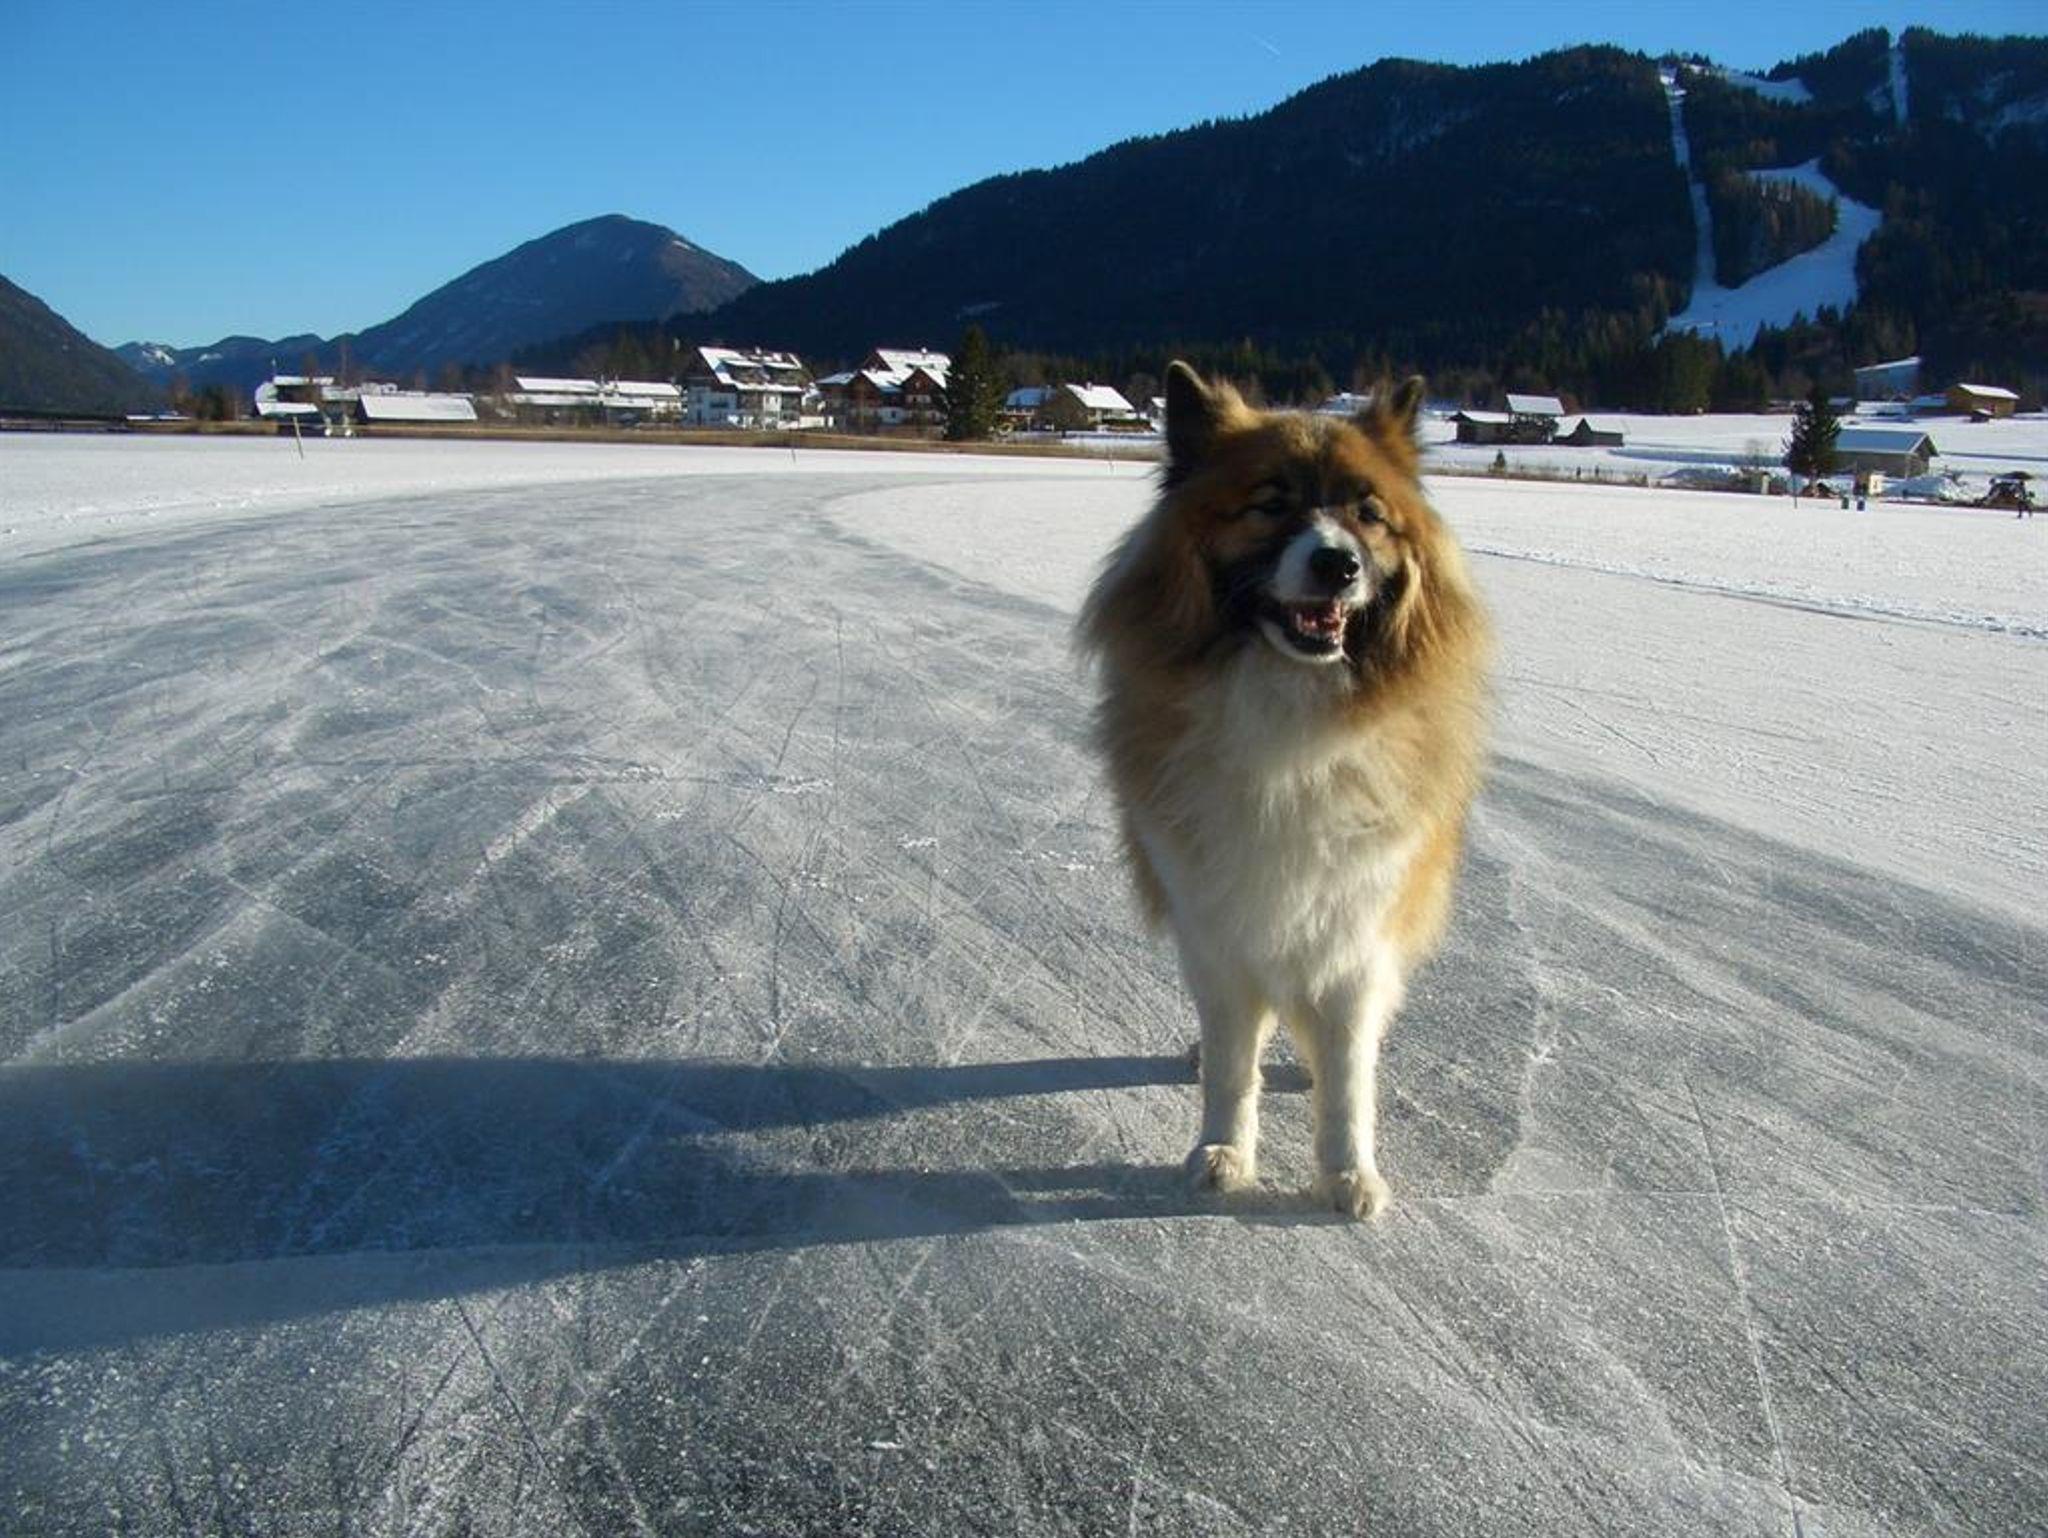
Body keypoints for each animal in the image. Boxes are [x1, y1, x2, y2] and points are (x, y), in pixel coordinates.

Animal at [1079, 361, 1489, 1219]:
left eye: (1368, 514)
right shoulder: (1218, 923)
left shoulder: (1356, 929)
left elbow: (1349, 1078)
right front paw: (1224, 1152)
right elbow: (1235, 1063)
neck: (1292, 706)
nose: (1339, 564)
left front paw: (1346, 1173)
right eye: (1270, 503)